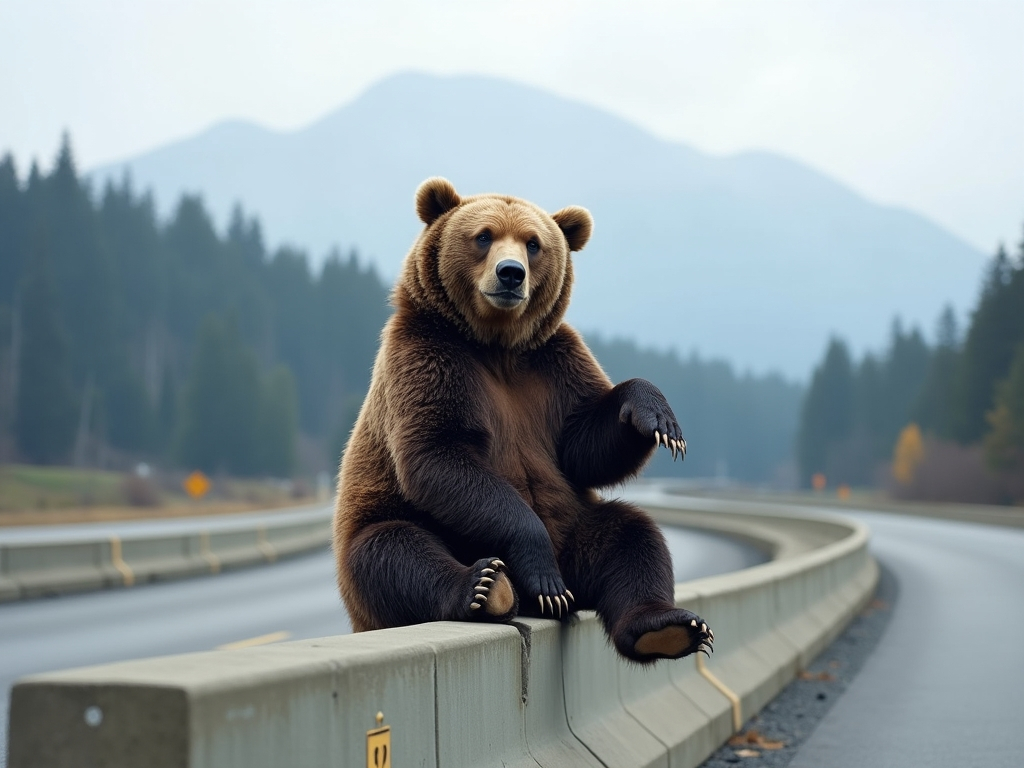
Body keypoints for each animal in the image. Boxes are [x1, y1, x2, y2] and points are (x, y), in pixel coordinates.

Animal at [333, 178, 713, 663]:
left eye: (533, 243)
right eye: (484, 236)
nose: (511, 273)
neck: (497, 346)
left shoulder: (551, 367)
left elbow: (583, 446)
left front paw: (659, 420)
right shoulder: (429, 357)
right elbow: (440, 454)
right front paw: (539, 572)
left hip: (577, 533)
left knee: (632, 536)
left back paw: (666, 626)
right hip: (386, 529)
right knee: (392, 551)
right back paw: (489, 586)